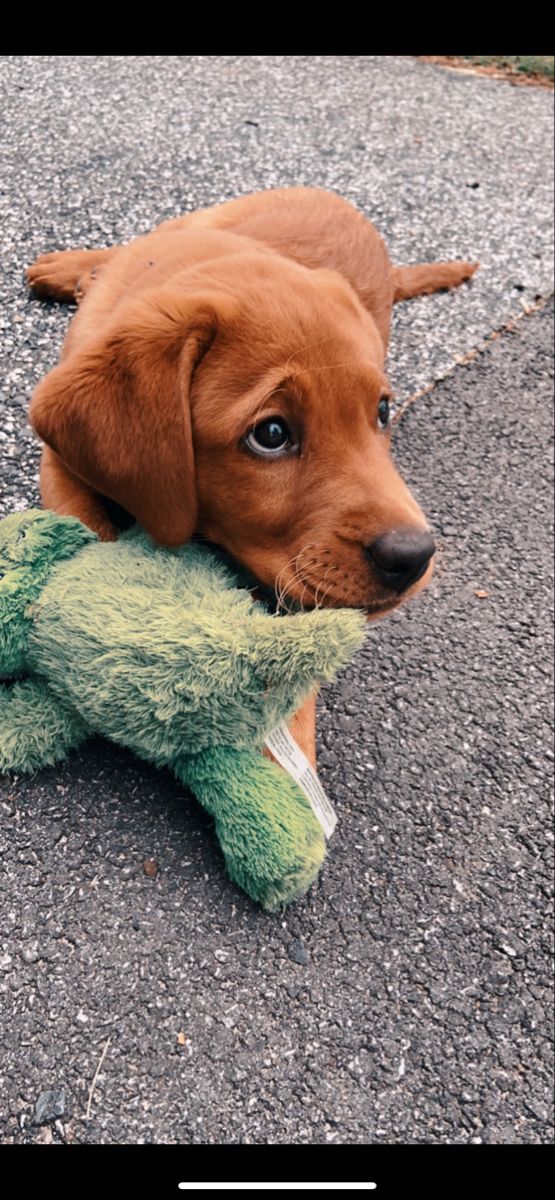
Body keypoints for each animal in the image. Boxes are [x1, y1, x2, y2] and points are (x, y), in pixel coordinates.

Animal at [27, 192, 478, 763]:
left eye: (381, 412)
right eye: (271, 433)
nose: (414, 555)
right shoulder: (60, 462)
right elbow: (91, 536)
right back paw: (72, 269)